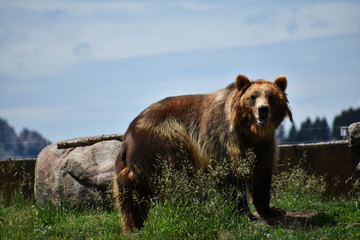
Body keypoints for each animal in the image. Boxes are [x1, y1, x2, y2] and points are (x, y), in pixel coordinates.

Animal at [114, 74, 294, 231]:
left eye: (271, 96)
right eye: (253, 96)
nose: (263, 110)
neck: (250, 131)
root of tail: (128, 137)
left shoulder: (263, 146)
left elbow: (261, 176)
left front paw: (273, 210)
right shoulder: (226, 139)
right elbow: (231, 175)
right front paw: (242, 211)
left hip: (133, 168)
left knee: (132, 198)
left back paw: (133, 226)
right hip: (164, 144)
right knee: (175, 181)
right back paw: (189, 211)